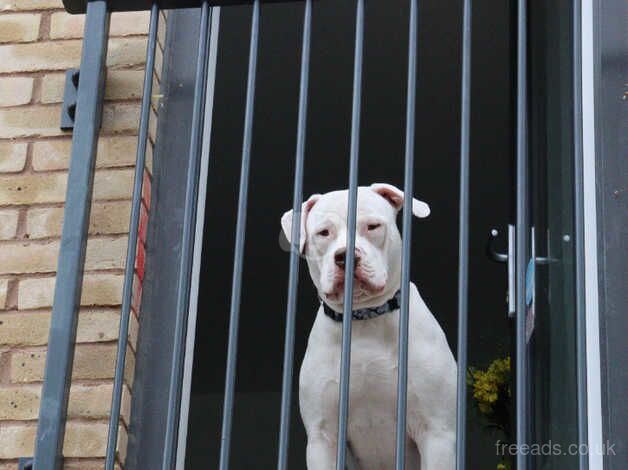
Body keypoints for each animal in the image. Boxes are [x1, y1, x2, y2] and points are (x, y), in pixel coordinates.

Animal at [280, 184, 456, 470]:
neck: (363, 318)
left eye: (373, 226)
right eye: (323, 233)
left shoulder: (436, 432)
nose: (346, 256)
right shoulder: (323, 438)